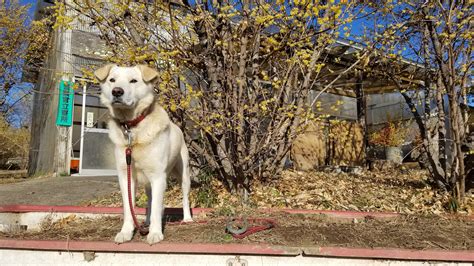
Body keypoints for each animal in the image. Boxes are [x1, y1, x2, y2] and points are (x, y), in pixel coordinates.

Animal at [94, 64, 193, 243]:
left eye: (133, 81)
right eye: (112, 80)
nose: (117, 91)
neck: (132, 127)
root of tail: (177, 127)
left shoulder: (159, 177)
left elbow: (156, 208)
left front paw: (155, 233)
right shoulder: (126, 176)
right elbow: (129, 208)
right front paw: (126, 232)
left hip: (183, 174)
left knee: (184, 196)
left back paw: (187, 218)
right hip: (148, 182)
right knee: (150, 200)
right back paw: (146, 222)